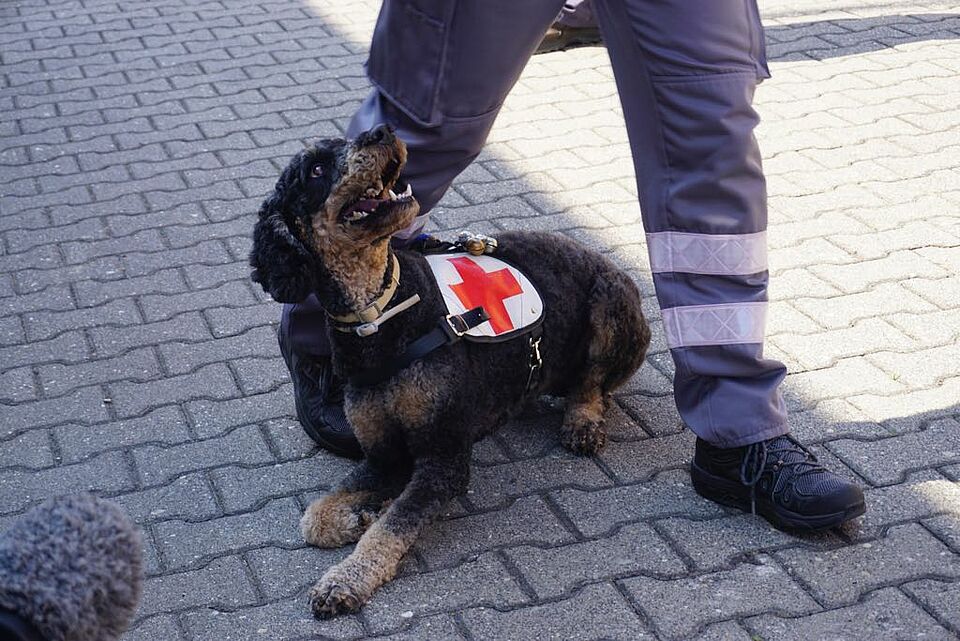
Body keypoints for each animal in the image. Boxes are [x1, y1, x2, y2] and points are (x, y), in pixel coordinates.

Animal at [248, 124, 652, 616]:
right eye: (316, 169)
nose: (382, 130)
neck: (380, 315)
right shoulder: (383, 454)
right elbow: (314, 517)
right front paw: (356, 516)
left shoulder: (444, 459)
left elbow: (392, 527)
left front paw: (345, 578)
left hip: (611, 305)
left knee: (593, 385)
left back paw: (583, 419)